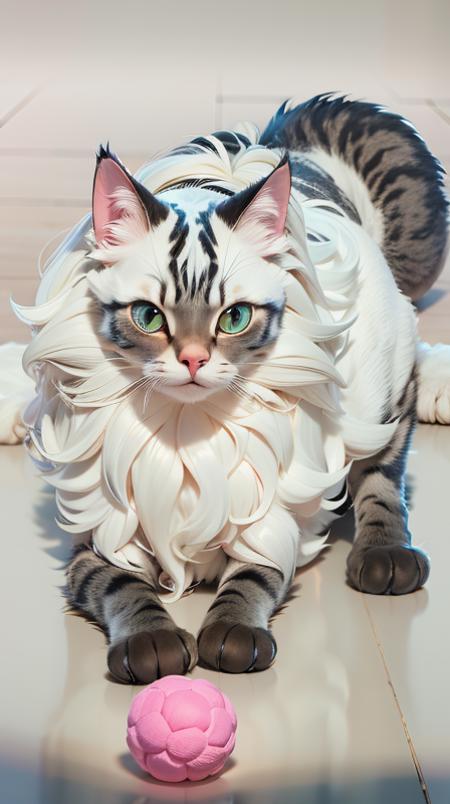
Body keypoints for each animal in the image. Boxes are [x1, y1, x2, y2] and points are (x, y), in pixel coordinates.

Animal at [1, 96, 448, 684]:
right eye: (149, 316)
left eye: (233, 318)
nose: (193, 359)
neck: (185, 433)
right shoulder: (100, 537)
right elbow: (122, 588)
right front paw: (152, 643)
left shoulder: (271, 519)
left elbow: (253, 578)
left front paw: (233, 634)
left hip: (384, 392)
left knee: (384, 476)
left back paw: (386, 556)